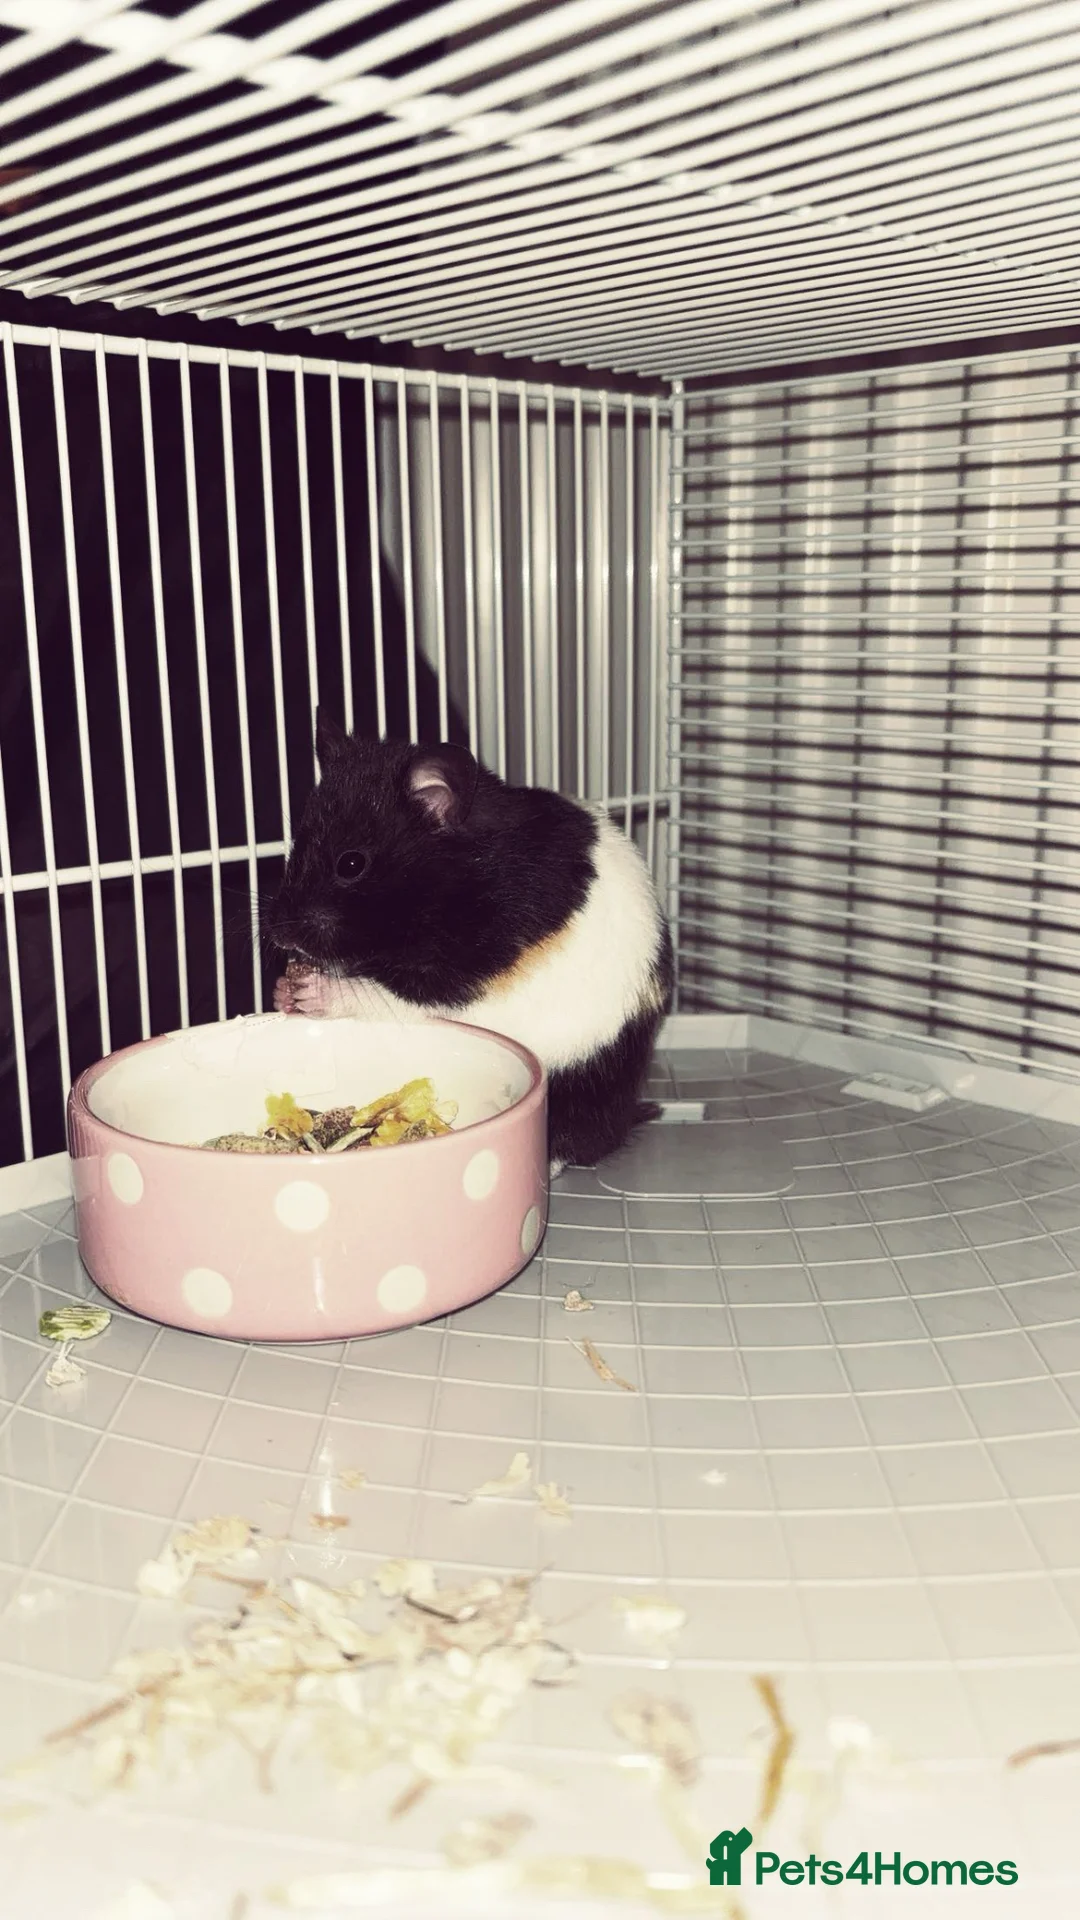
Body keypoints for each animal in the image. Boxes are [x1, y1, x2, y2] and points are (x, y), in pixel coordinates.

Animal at [267, 713, 673, 1169]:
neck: (463, 878)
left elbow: (383, 994)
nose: (279, 934)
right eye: (294, 848)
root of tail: (628, 1109)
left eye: (351, 864)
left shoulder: (461, 980)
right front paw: (284, 989)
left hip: (577, 1081)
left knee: (576, 1140)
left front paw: (309, 990)